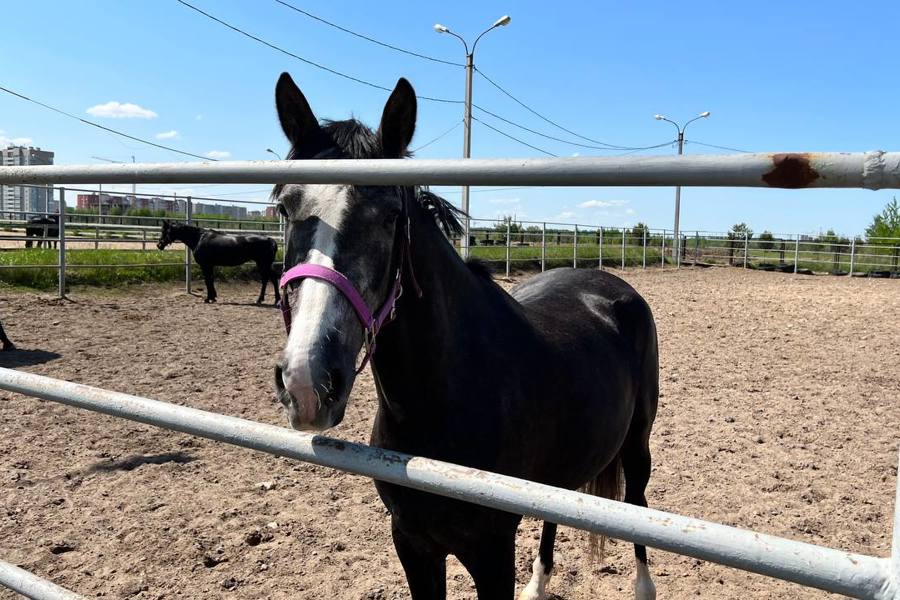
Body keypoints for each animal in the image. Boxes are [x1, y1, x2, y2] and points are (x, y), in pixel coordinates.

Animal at [270, 72, 656, 596]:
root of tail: (611, 285)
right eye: (284, 209)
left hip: (638, 445)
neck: (449, 397)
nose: (309, 381)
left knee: (638, 505)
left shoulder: (491, 551)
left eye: (390, 215)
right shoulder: (412, 544)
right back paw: (538, 585)